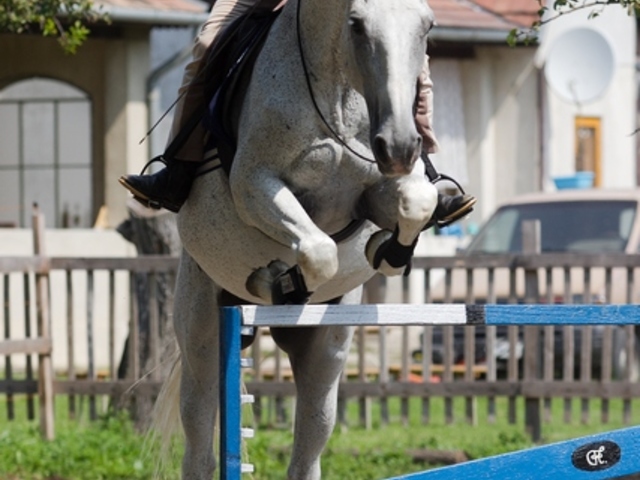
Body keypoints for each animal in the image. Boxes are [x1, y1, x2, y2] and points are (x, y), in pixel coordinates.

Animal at [153, 0, 438, 478]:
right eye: (356, 26)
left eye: (427, 27)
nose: (399, 147)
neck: (338, 95)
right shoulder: (255, 186)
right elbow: (319, 251)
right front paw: (277, 282)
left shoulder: (374, 191)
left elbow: (417, 201)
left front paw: (387, 250)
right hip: (202, 331)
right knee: (199, 440)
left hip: (325, 353)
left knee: (310, 441)